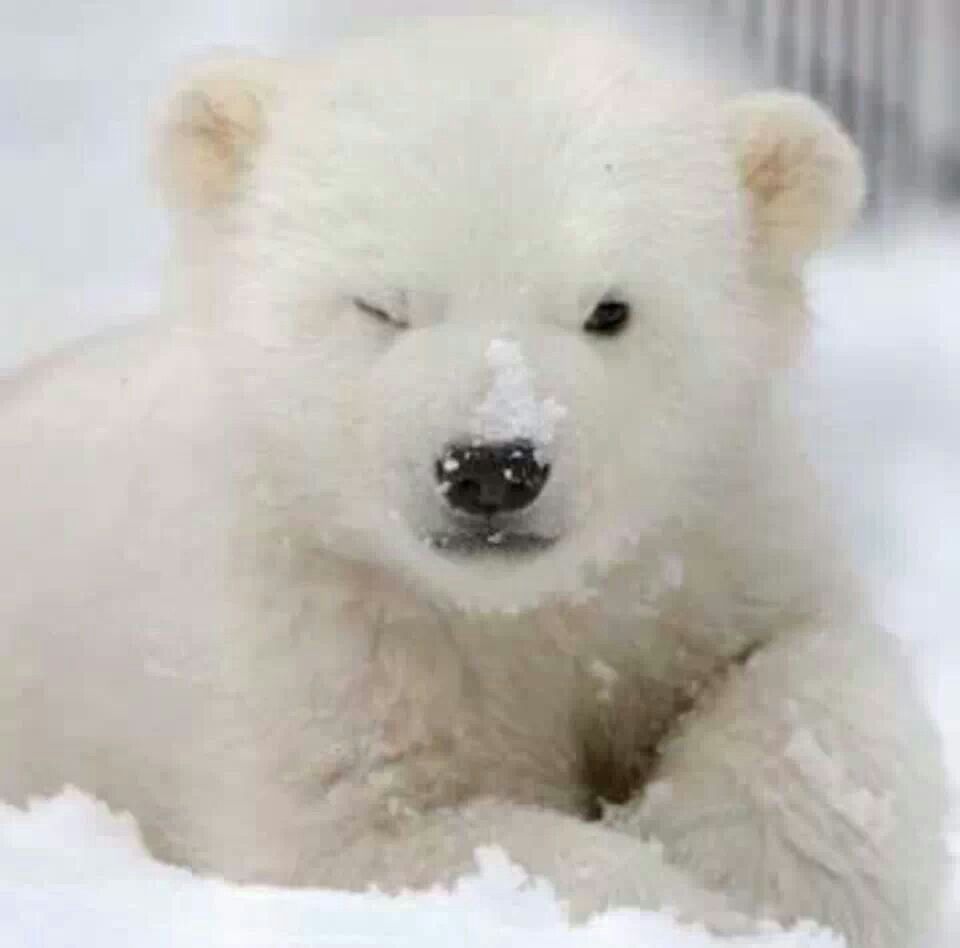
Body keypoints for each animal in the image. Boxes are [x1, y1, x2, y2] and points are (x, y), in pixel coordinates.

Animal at [0, 15, 947, 947]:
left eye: (610, 309)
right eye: (382, 305)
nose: (493, 467)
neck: (507, 612)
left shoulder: (715, 543)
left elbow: (808, 678)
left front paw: (769, 887)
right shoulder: (312, 631)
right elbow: (373, 836)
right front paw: (688, 911)